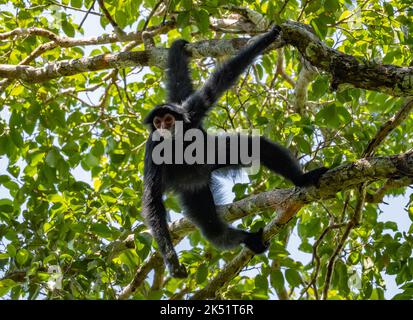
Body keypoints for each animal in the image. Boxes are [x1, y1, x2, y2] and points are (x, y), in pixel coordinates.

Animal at [143, 26, 326, 278]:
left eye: (168, 120)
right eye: (157, 122)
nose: (162, 127)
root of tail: (201, 177)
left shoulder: (191, 112)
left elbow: (222, 79)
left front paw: (271, 35)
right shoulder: (153, 147)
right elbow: (152, 201)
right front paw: (171, 260)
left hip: (210, 159)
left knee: (257, 147)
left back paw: (302, 179)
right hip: (191, 189)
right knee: (213, 229)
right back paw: (248, 239)